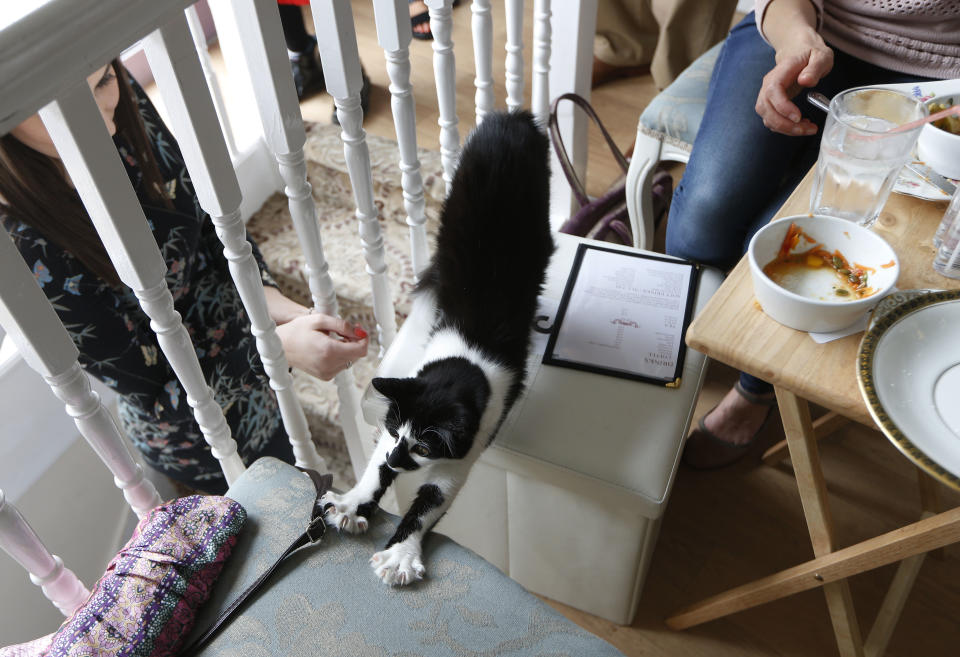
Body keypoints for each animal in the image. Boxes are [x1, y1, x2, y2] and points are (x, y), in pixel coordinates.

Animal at [318, 111, 552, 584]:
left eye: (425, 448)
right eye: (394, 430)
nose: (396, 460)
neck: (467, 357)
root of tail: (511, 118)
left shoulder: (471, 441)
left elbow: (431, 499)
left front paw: (399, 554)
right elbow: (373, 466)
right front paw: (351, 504)